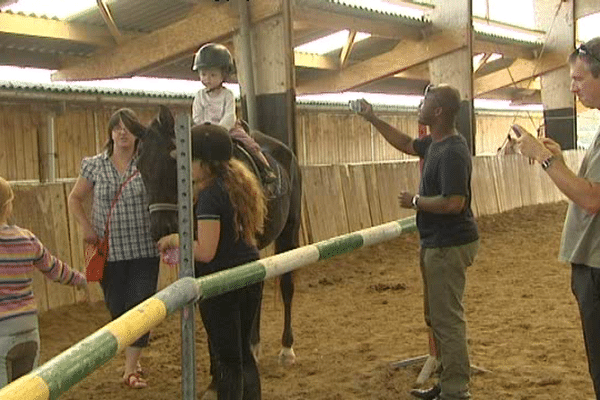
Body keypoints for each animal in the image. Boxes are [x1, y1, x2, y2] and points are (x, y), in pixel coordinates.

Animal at [122, 104, 302, 392]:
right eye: (139, 165)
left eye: (174, 161)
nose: (162, 229)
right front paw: (215, 375)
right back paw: (253, 345)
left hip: (289, 233)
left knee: (286, 285)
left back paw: (286, 349)